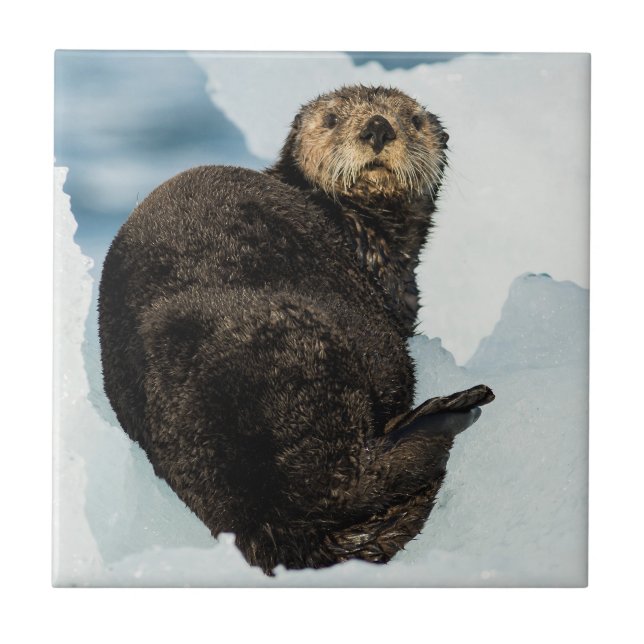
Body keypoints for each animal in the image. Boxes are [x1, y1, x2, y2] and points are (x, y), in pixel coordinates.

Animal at [98, 85, 494, 575]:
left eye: (413, 120)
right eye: (331, 119)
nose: (378, 127)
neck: (364, 235)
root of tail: (258, 519)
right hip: (319, 353)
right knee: (354, 477)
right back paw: (451, 411)